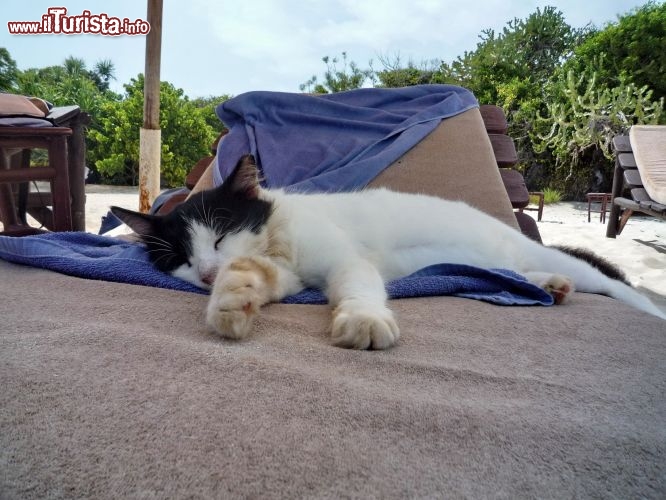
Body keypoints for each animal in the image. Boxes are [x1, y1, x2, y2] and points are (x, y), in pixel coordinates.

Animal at [110, 154, 664, 350]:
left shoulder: (343, 259)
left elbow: (355, 284)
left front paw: (363, 319)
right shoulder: (286, 273)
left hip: (564, 262)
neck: (279, 236)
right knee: (518, 273)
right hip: (510, 263)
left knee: (613, 284)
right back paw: (546, 287)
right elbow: (257, 278)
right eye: (180, 260)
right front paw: (230, 298)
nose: (206, 273)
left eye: (220, 237)